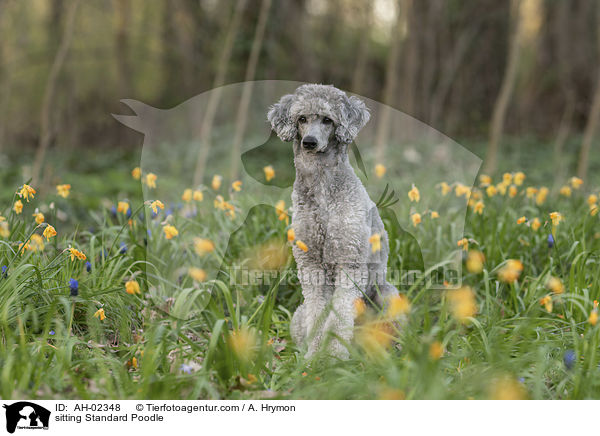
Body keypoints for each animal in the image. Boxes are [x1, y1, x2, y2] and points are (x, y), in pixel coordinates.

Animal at [268, 84, 398, 358]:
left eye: (328, 120)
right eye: (301, 119)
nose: (309, 142)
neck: (322, 188)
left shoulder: (349, 262)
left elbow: (339, 316)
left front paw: (334, 356)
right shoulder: (311, 265)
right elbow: (320, 313)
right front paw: (315, 356)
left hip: (389, 297)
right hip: (298, 316)